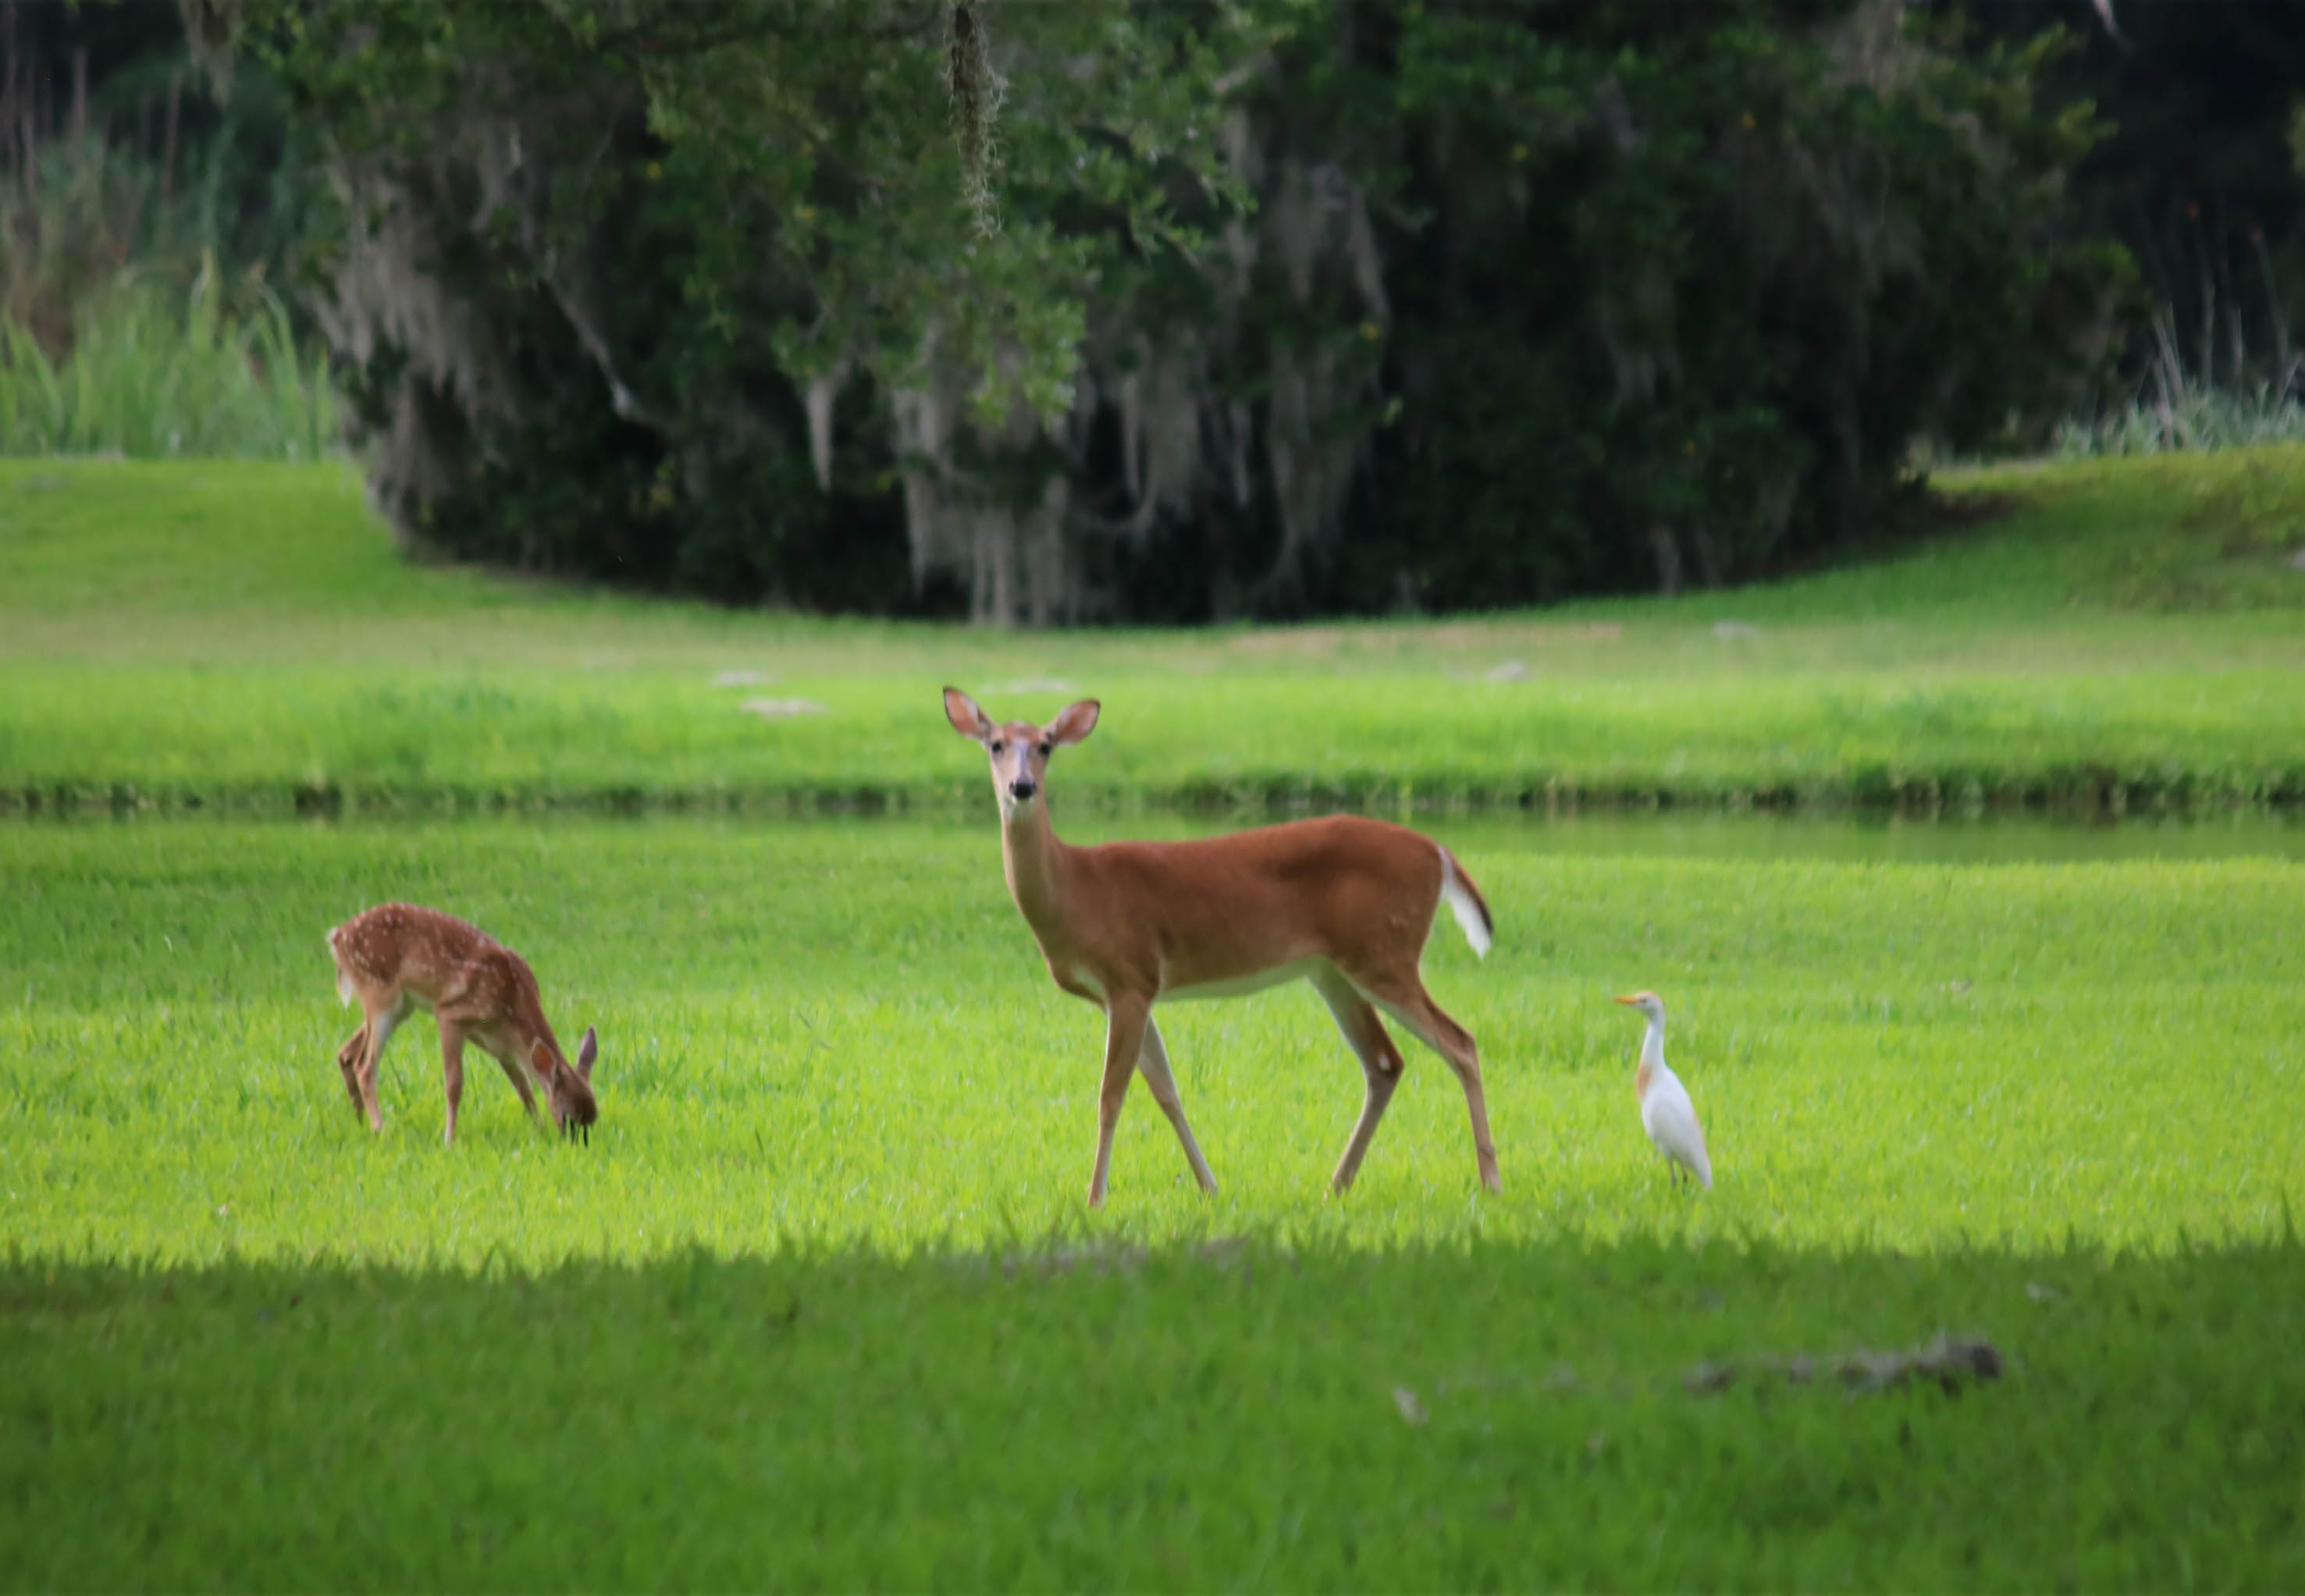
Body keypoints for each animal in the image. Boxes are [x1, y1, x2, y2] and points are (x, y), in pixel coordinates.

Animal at [326, 902, 599, 1144]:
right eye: (568, 1116)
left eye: (593, 1119)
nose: (576, 1145)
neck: (512, 1005)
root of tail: (337, 937)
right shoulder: (450, 1015)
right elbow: (454, 1083)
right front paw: (449, 1140)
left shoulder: (500, 1045)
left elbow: (524, 1086)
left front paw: (540, 1130)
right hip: (381, 994)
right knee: (365, 1066)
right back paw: (381, 1130)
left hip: (402, 1006)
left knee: (346, 1053)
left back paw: (361, 1123)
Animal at [942, 687, 1501, 1206]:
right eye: (995, 744)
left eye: (1046, 745)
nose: (1022, 786)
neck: (1075, 890)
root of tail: (1440, 852)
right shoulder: (1125, 993)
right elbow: (1166, 1089)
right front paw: (1209, 1186)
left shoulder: (1131, 976)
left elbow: (1111, 1095)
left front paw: (1094, 1198)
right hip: (1333, 969)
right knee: (1385, 1062)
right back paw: (1336, 1185)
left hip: (1385, 953)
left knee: (1461, 1042)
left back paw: (1490, 1181)